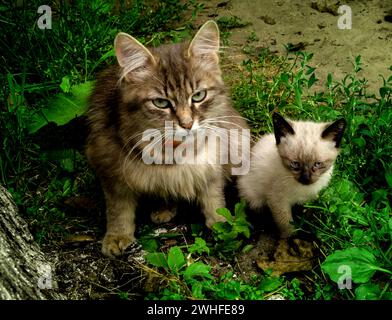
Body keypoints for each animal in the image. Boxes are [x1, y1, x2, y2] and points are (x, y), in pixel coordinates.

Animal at [87, 21, 250, 258]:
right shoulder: (110, 166)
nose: (187, 124)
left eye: (198, 96)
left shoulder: (213, 162)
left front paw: (223, 226)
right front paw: (117, 236)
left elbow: (213, 199)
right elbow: (119, 209)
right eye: (161, 102)